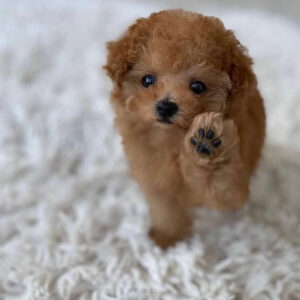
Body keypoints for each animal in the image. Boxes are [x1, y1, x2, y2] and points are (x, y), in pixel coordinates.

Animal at [104, 9, 266, 248]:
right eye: (147, 80)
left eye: (197, 86)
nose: (166, 106)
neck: (172, 139)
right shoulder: (156, 180)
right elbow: (166, 209)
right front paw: (167, 237)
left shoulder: (232, 191)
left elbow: (218, 184)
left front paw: (207, 145)